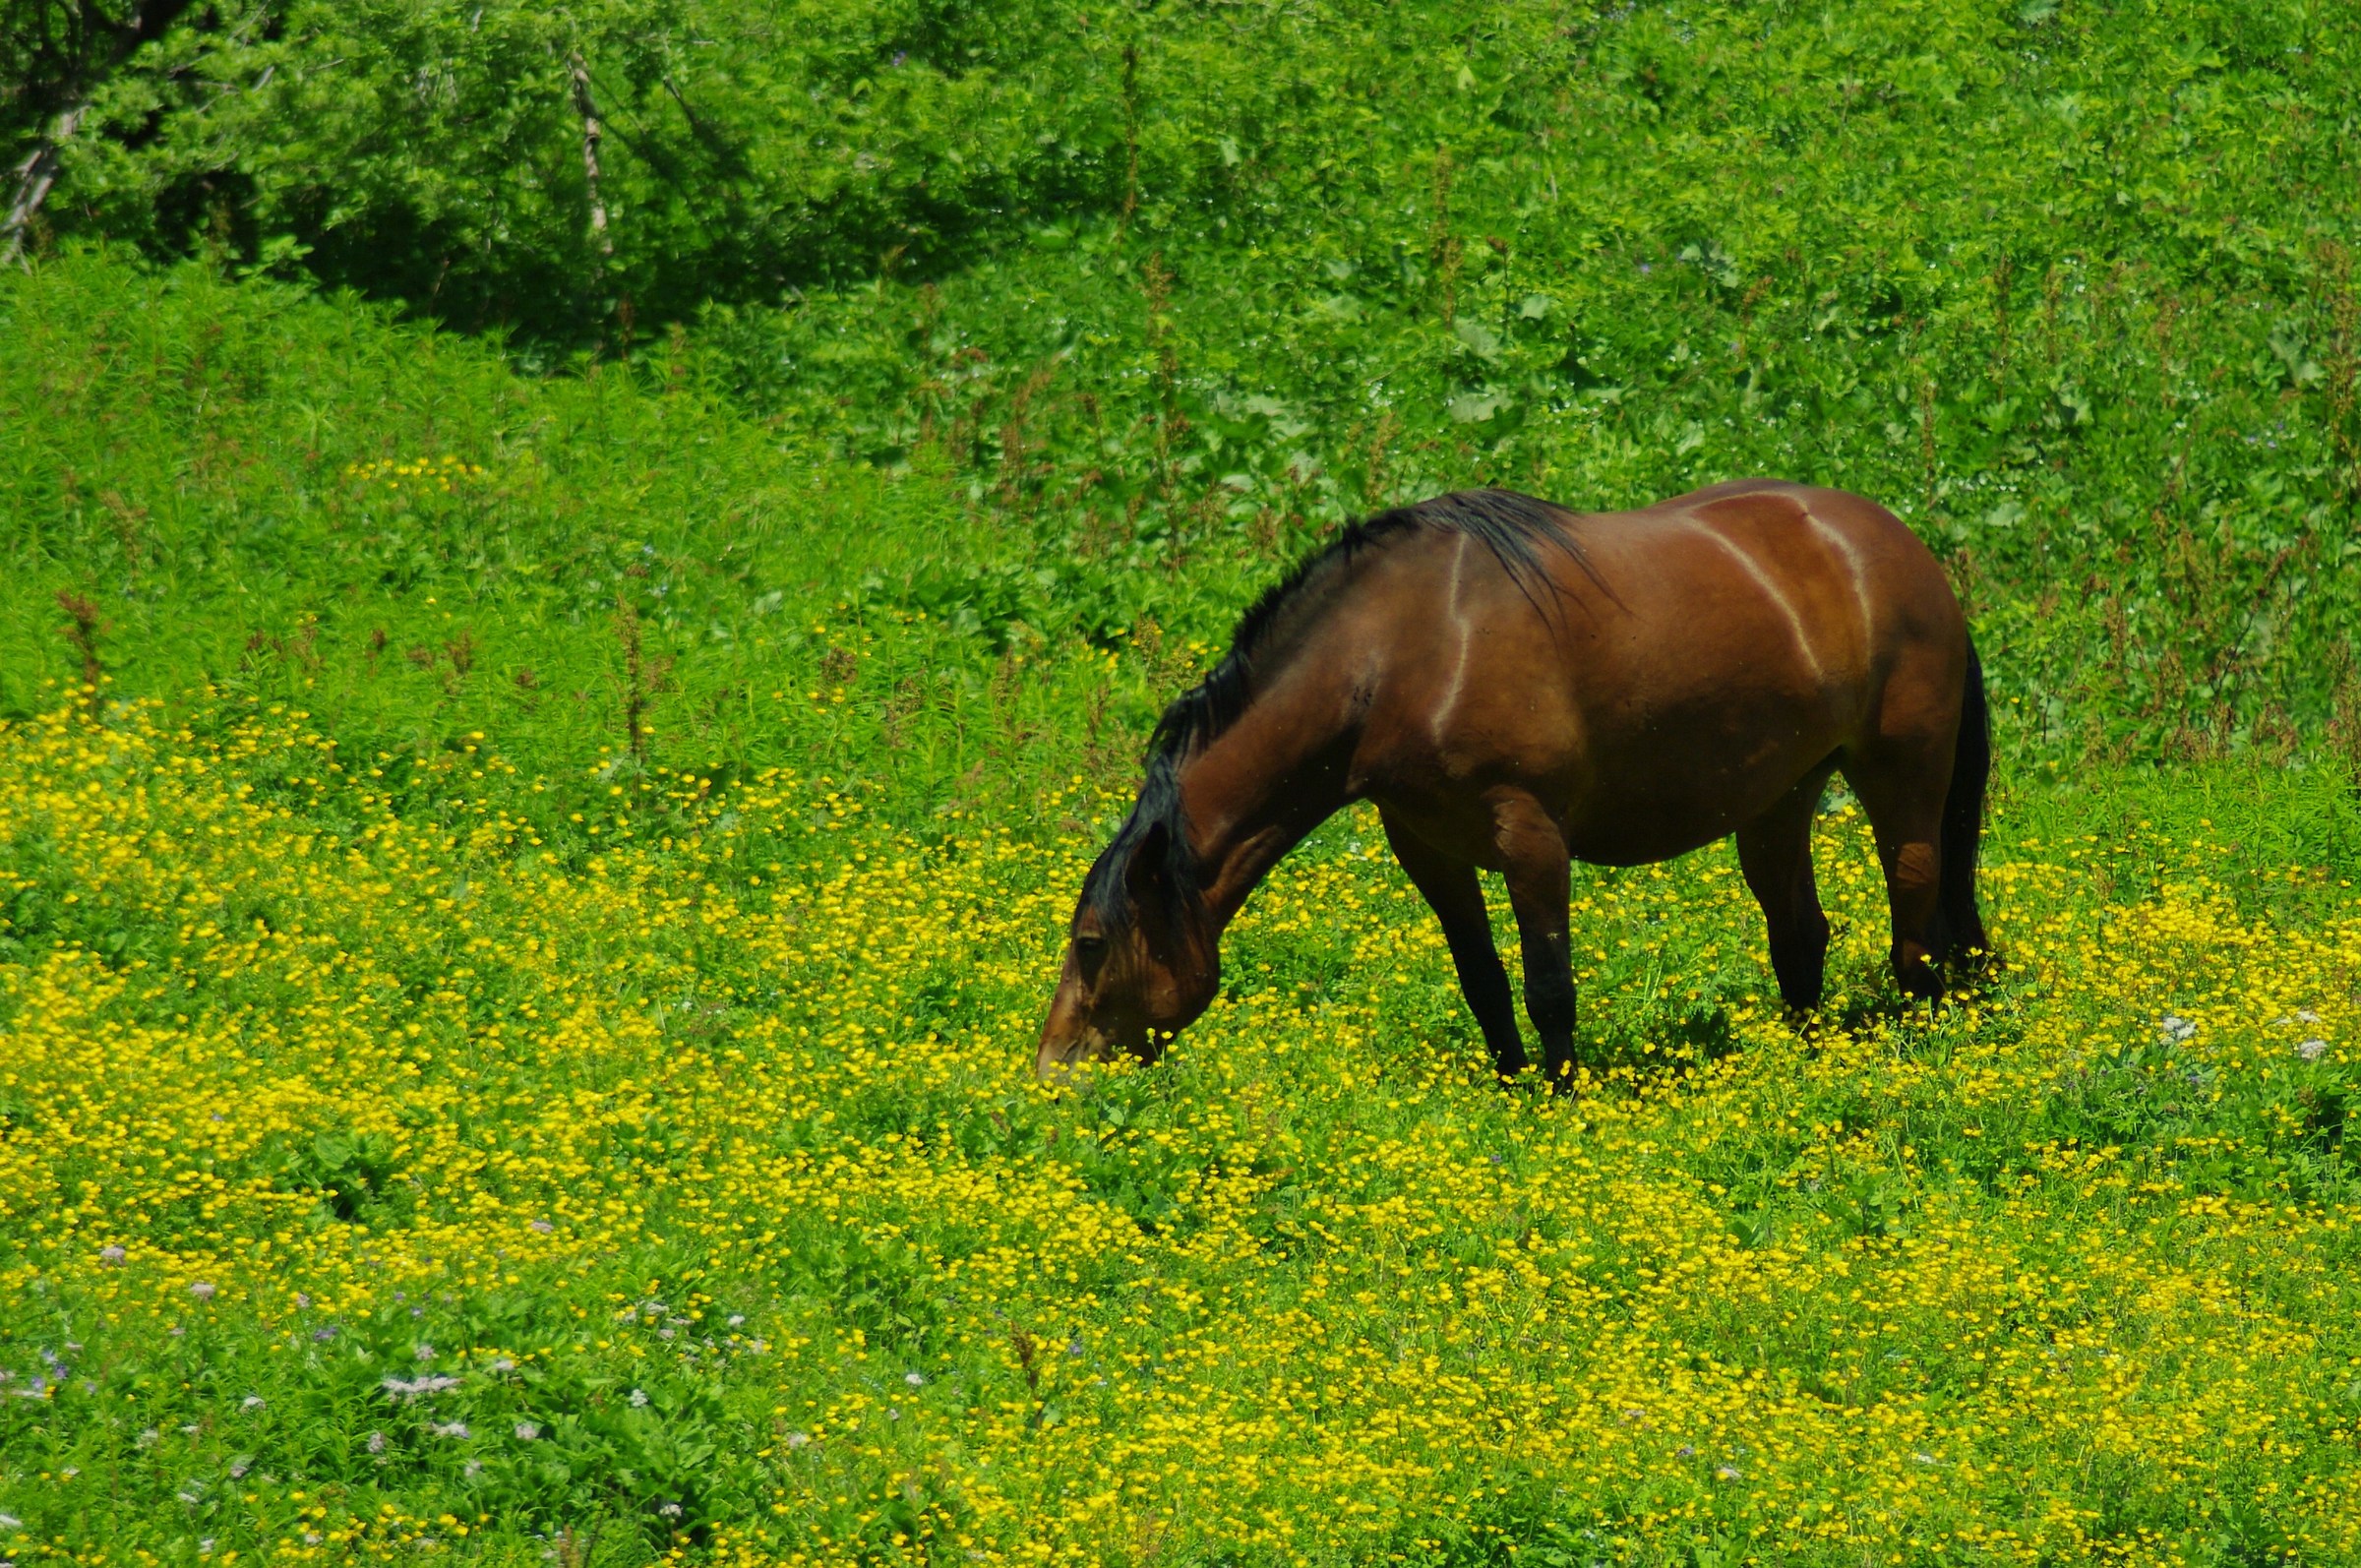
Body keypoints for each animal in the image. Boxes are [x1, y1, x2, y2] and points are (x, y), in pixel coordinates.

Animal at [1035, 480, 1989, 1089]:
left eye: (1091, 944)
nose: (1053, 1077)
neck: (1400, 652)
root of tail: (1906, 554)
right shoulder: (1427, 846)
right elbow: (1484, 980)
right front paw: (1510, 1089)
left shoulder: (1531, 840)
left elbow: (1548, 985)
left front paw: (1561, 1102)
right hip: (1779, 797)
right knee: (1800, 935)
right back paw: (1804, 1060)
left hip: (1899, 775)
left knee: (1916, 917)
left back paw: (1918, 1047)